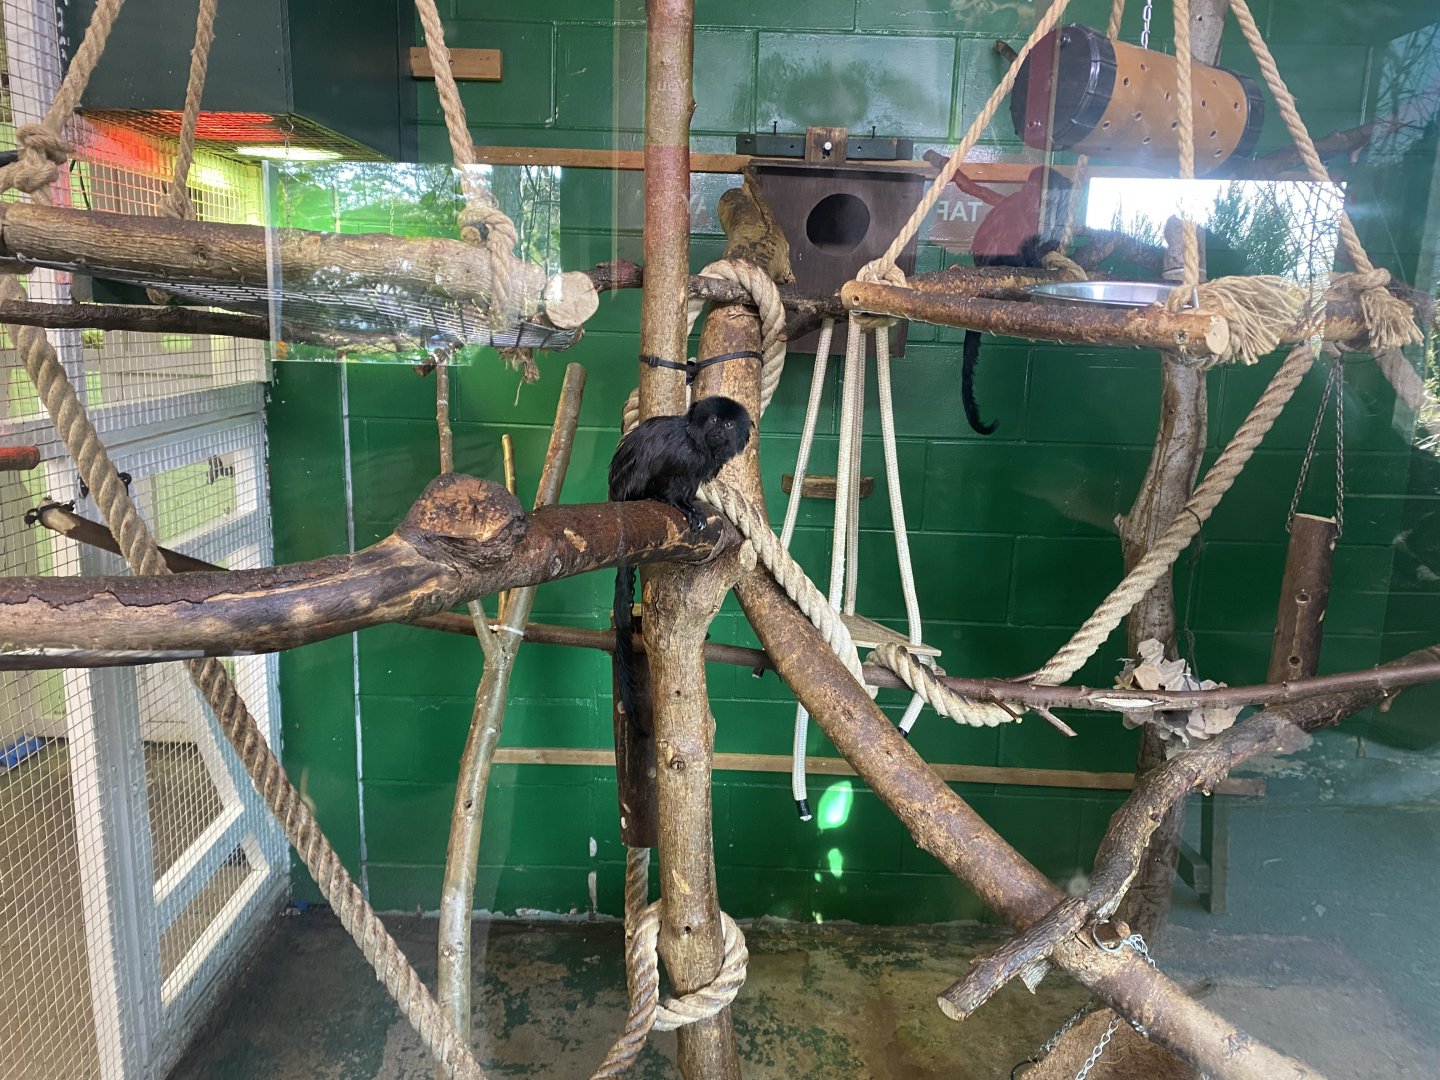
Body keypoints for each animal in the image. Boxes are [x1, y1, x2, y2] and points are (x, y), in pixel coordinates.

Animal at [608, 395, 753, 725]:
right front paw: (680, 505)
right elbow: (670, 480)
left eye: (728, 425)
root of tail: (615, 493)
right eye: (713, 421)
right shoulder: (679, 457)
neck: (700, 446)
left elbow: (689, 485)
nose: (719, 431)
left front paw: (691, 502)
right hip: (630, 484)